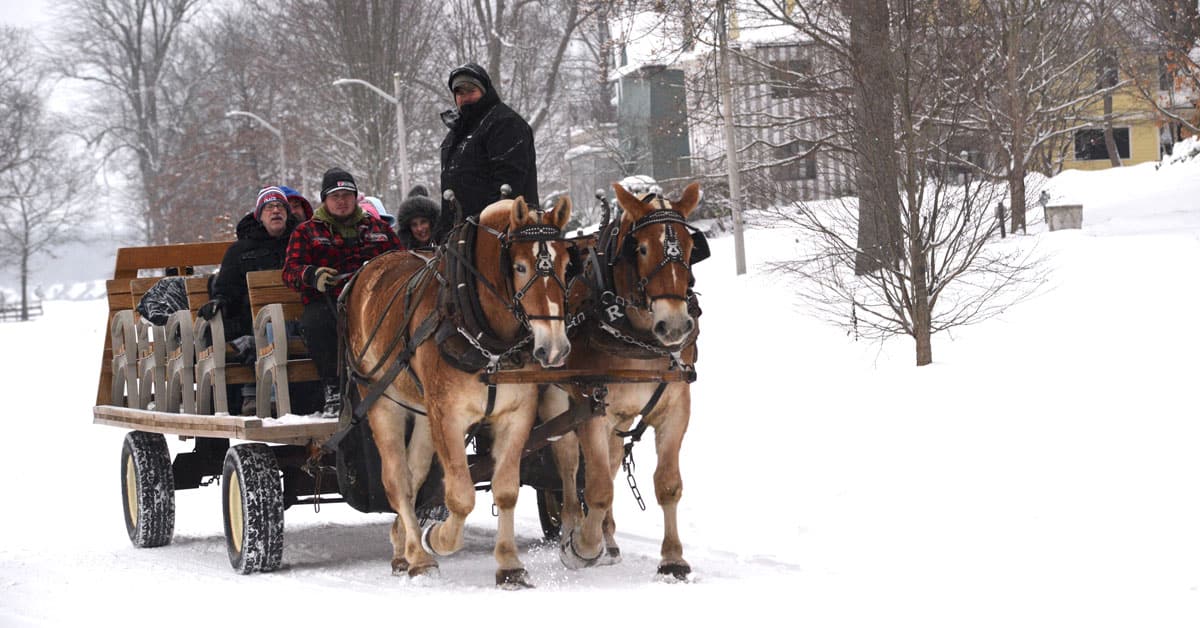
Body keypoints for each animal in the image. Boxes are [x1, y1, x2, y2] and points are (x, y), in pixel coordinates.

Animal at [345, 196, 573, 590]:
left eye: (566, 262)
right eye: (520, 266)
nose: (555, 348)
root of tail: (367, 269)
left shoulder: (516, 415)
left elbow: (506, 489)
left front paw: (510, 565)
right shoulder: (449, 417)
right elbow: (461, 495)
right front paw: (437, 538)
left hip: (423, 412)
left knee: (414, 475)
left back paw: (401, 546)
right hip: (382, 401)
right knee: (397, 481)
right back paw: (418, 556)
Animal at [542, 180, 700, 581]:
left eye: (691, 247)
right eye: (641, 248)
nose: (675, 327)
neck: (635, 334)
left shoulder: (675, 406)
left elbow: (668, 484)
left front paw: (673, 558)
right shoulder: (591, 407)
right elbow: (596, 486)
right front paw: (582, 546)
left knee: (612, 462)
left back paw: (609, 537)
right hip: (556, 402)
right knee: (569, 465)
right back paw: (572, 529)